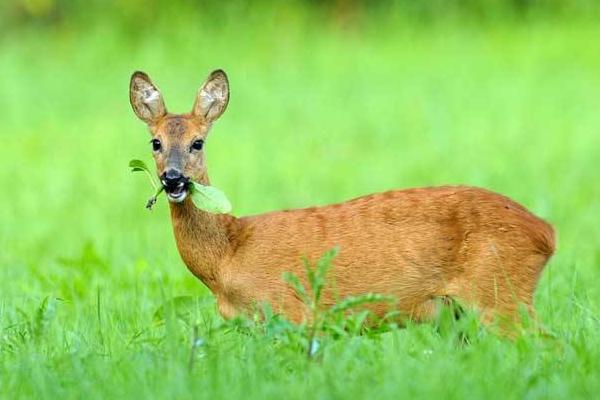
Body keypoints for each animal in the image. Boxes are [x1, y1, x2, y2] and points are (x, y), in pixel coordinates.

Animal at [129, 69, 556, 332]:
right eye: (156, 143)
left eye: (197, 142)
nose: (173, 179)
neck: (228, 257)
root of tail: (546, 233)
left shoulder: (292, 313)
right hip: (460, 315)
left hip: (499, 293)